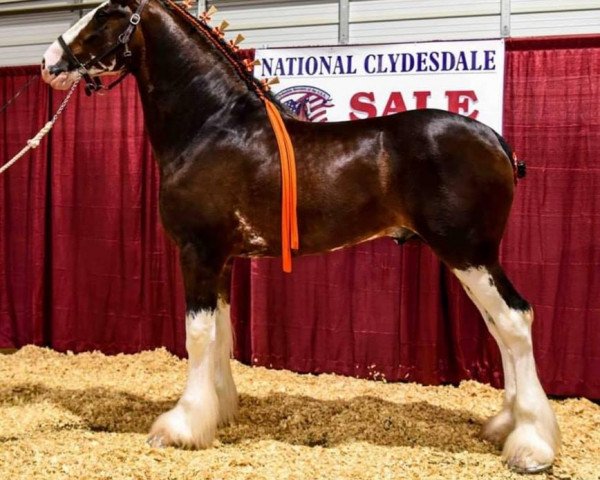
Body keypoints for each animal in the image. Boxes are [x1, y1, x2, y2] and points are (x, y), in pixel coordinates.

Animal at [39, 0, 560, 472]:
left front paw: (181, 427)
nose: (47, 62)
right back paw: (505, 426)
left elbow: (198, 336)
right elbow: (222, 332)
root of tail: (496, 141)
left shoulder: (198, 253)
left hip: (468, 253)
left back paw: (531, 446)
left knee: (514, 320)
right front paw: (219, 411)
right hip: (471, 258)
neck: (211, 126)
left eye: (105, 14)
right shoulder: (223, 260)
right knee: (500, 326)